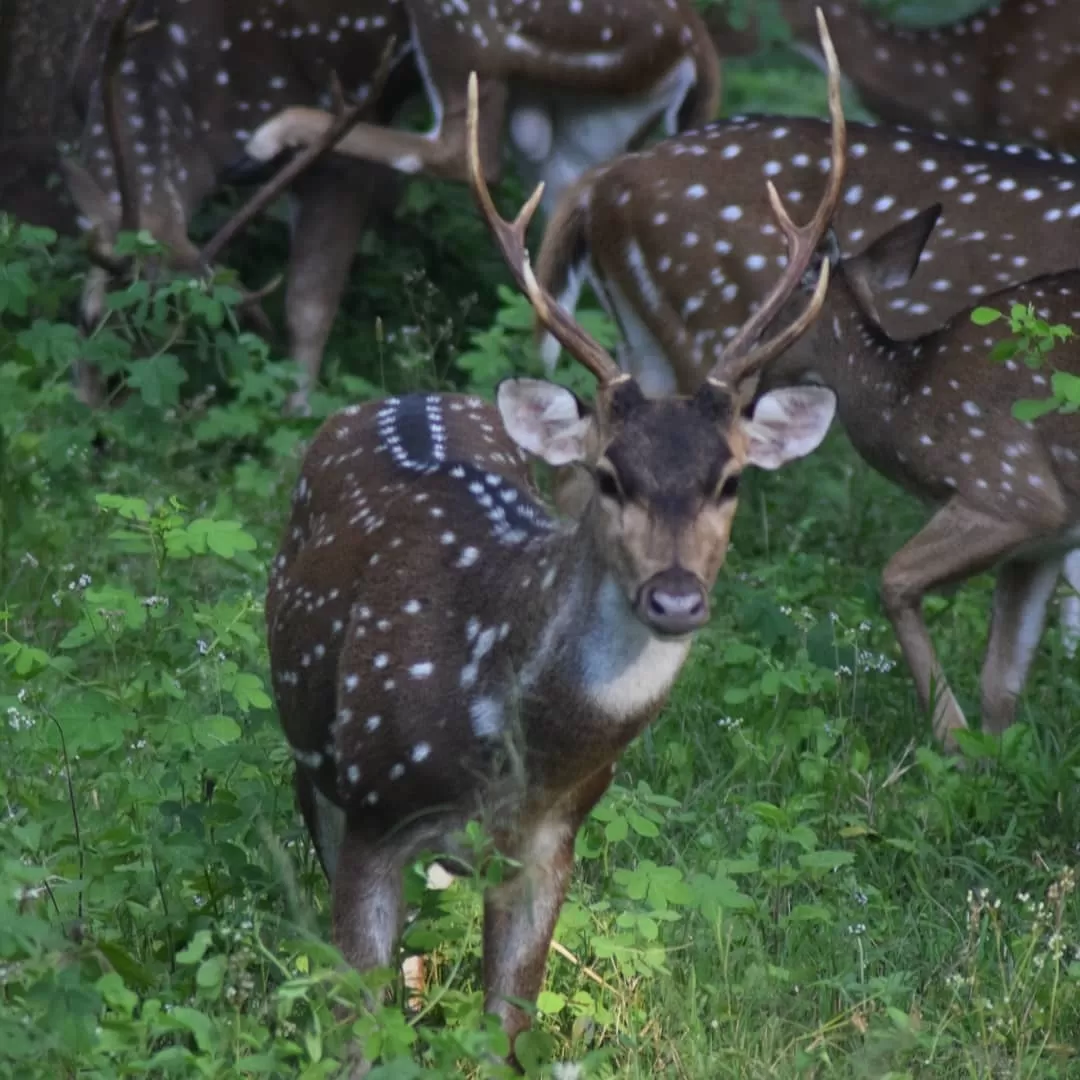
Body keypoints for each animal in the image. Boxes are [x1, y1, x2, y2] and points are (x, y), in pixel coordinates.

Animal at [263, 16, 851, 1062]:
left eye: (731, 479)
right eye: (611, 475)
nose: (674, 595)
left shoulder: (553, 842)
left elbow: (506, 1033)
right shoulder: (372, 805)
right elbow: (359, 1026)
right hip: (309, 753)